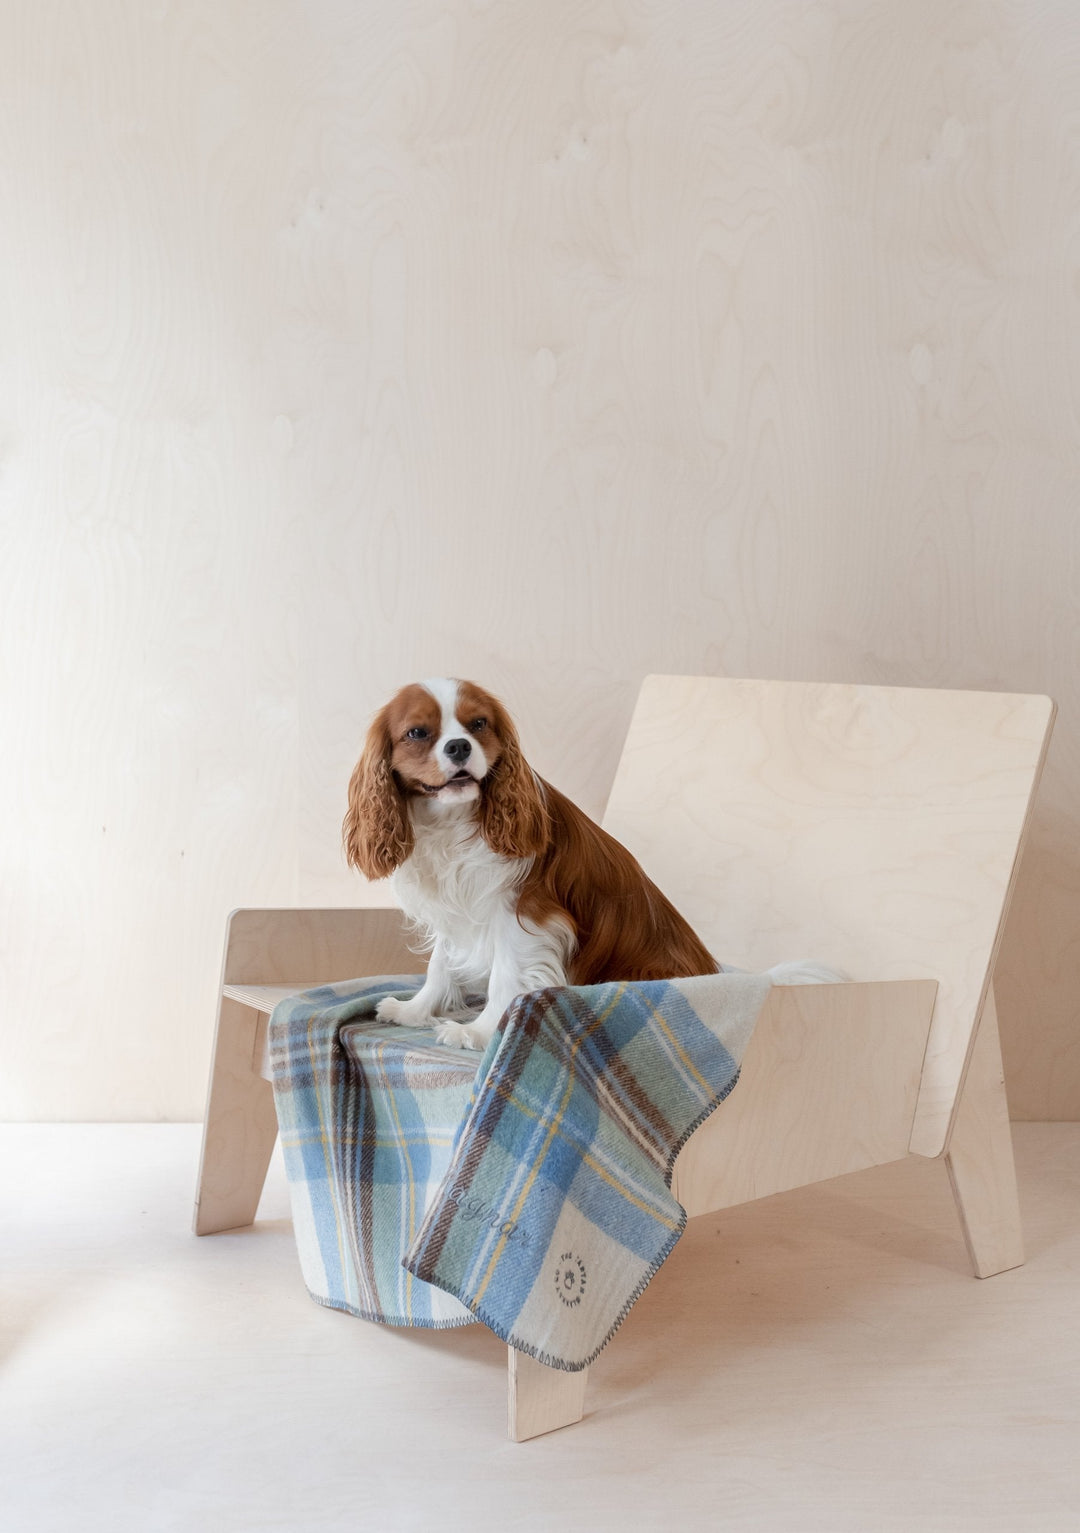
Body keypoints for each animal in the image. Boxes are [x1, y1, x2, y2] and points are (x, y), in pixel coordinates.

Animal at [341, 677, 720, 1048]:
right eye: (418, 732)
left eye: (479, 724)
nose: (459, 746)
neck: (451, 820)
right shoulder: (456, 907)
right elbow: (440, 965)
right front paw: (416, 1011)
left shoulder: (523, 913)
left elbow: (505, 977)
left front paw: (479, 1031)